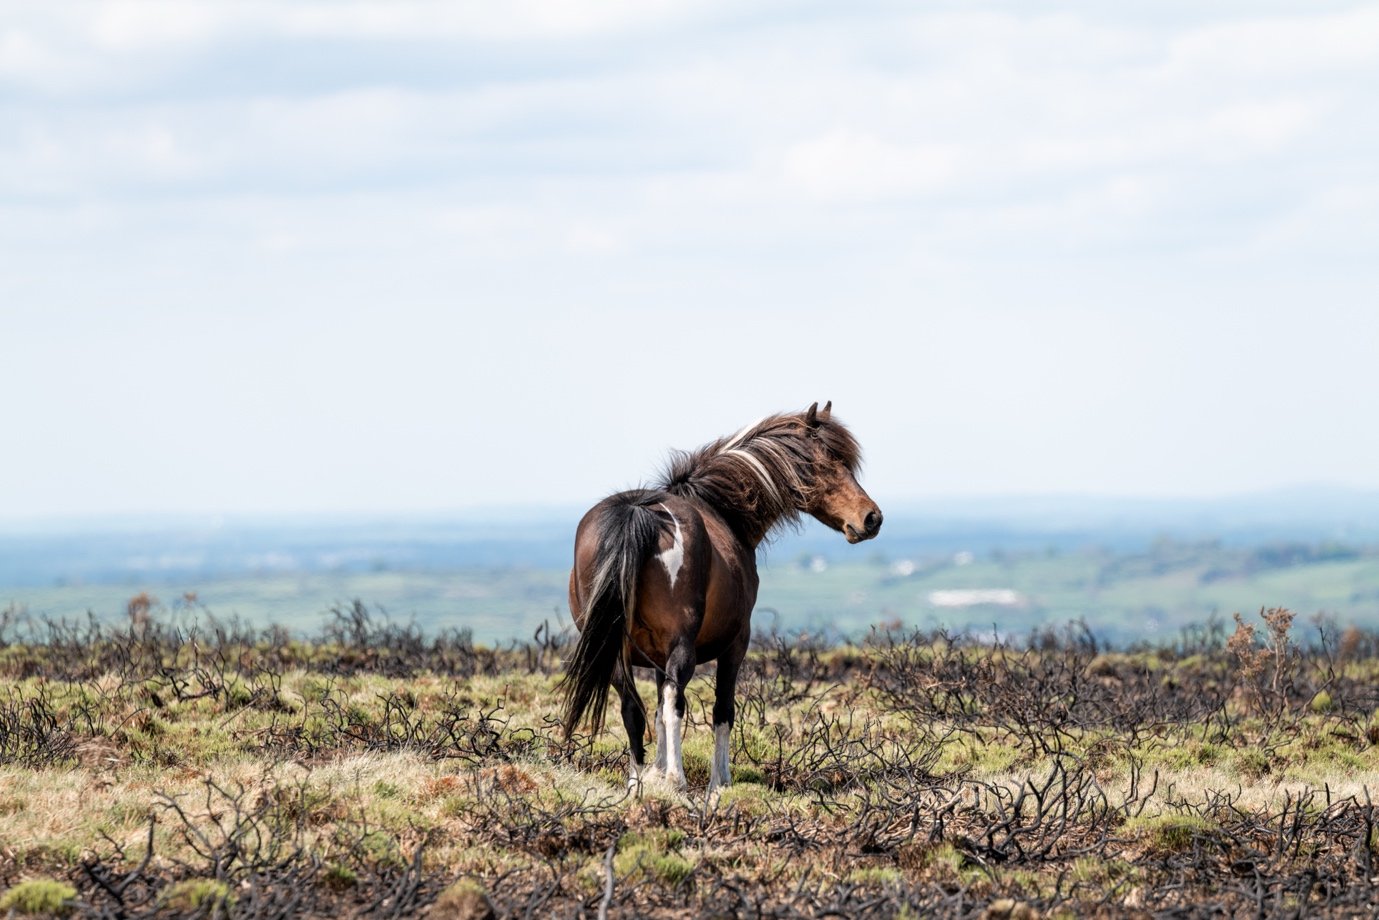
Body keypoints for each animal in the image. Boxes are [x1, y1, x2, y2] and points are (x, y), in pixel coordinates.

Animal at [559, 401, 882, 791]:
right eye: (825, 466)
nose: (872, 518)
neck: (724, 514)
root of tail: (638, 512)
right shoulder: (736, 643)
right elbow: (721, 711)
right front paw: (718, 782)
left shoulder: (655, 657)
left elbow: (656, 711)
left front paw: (656, 771)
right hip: (680, 645)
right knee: (675, 701)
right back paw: (677, 780)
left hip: (614, 652)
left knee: (634, 709)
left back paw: (636, 787)